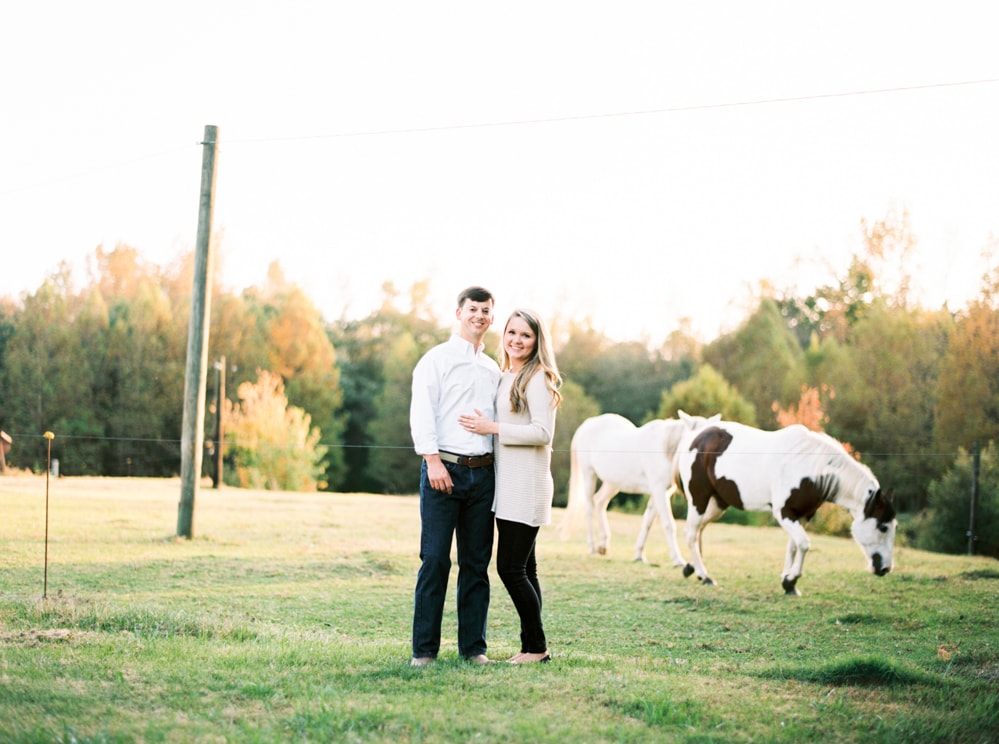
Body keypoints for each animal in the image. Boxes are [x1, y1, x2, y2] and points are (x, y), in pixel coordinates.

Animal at [564, 406, 720, 564]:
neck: (666, 449)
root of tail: (588, 423)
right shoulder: (659, 491)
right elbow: (668, 524)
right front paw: (677, 560)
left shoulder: (660, 493)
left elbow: (647, 522)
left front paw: (639, 555)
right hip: (589, 474)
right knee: (589, 507)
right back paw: (592, 547)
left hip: (612, 483)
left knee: (600, 502)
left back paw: (603, 545)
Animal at [680, 422, 900, 596]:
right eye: (883, 527)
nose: (886, 569)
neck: (811, 470)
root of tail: (696, 436)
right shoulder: (784, 513)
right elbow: (803, 544)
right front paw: (791, 580)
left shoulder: (802, 516)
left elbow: (793, 546)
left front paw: (788, 583)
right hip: (699, 498)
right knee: (691, 532)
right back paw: (704, 575)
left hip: (719, 503)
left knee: (698, 529)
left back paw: (691, 568)